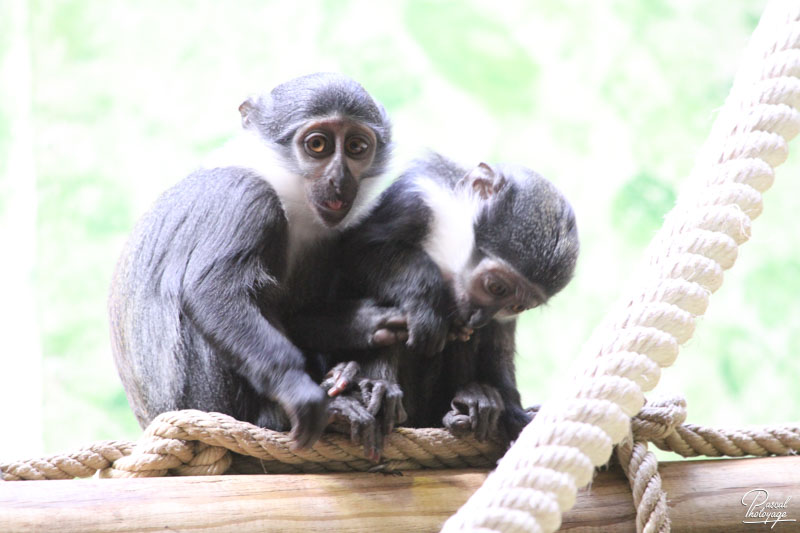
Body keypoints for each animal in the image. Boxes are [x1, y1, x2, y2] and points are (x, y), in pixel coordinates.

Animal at [106, 72, 394, 446]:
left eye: (357, 147)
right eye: (318, 145)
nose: (339, 179)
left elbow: (295, 315)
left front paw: (363, 325)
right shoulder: (246, 197)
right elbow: (210, 292)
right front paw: (299, 390)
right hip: (203, 399)